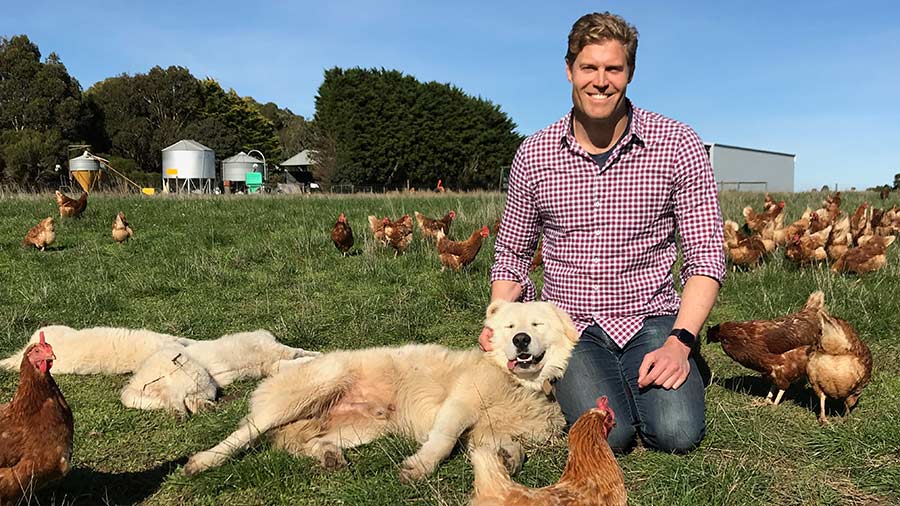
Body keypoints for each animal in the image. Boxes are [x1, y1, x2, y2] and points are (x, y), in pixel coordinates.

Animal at [185, 302, 576, 480]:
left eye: (537, 324)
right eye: (510, 327)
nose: (520, 340)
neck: (521, 386)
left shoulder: (489, 432)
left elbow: (514, 448)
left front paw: (507, 460)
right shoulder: (460, 403)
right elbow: (444, 439)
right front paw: (419, 468)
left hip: (361, 426)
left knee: (306, 442)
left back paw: (328, 456)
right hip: (311, 390)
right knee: (246, 432)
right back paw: (203, 461)